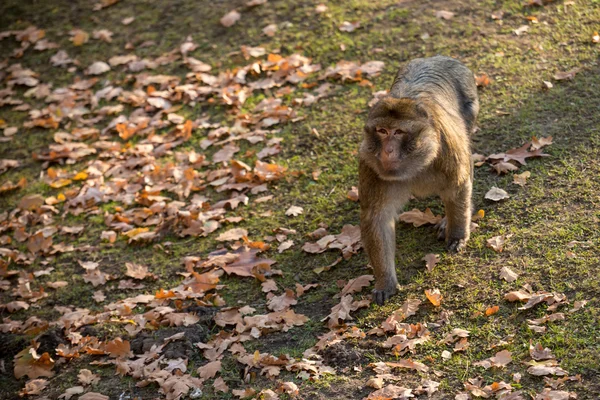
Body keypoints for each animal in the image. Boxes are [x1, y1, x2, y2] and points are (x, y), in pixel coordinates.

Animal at [358, 55, 480, 304]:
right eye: (382, 131)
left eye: (398, 133)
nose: (387, 151)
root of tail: (437, 57)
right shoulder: (370, 164)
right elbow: (377, 217)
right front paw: (385, 281)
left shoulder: (446, 148)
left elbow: (458, 186)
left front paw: (457, 234)